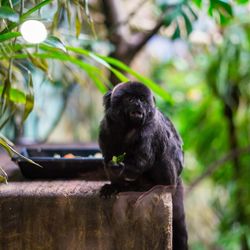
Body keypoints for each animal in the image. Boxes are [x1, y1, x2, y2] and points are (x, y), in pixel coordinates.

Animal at [97, 81, 188, 249]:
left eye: (142, 100)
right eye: (130, 99)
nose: (138, 104)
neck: (128, 128)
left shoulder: (149, 129)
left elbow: (143, 161)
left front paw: (119, 166)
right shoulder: (106, 127)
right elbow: (107, 157)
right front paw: (113, 181)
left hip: (170, 175)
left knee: (164, 150)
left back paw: (161, 188)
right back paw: (120, 187)